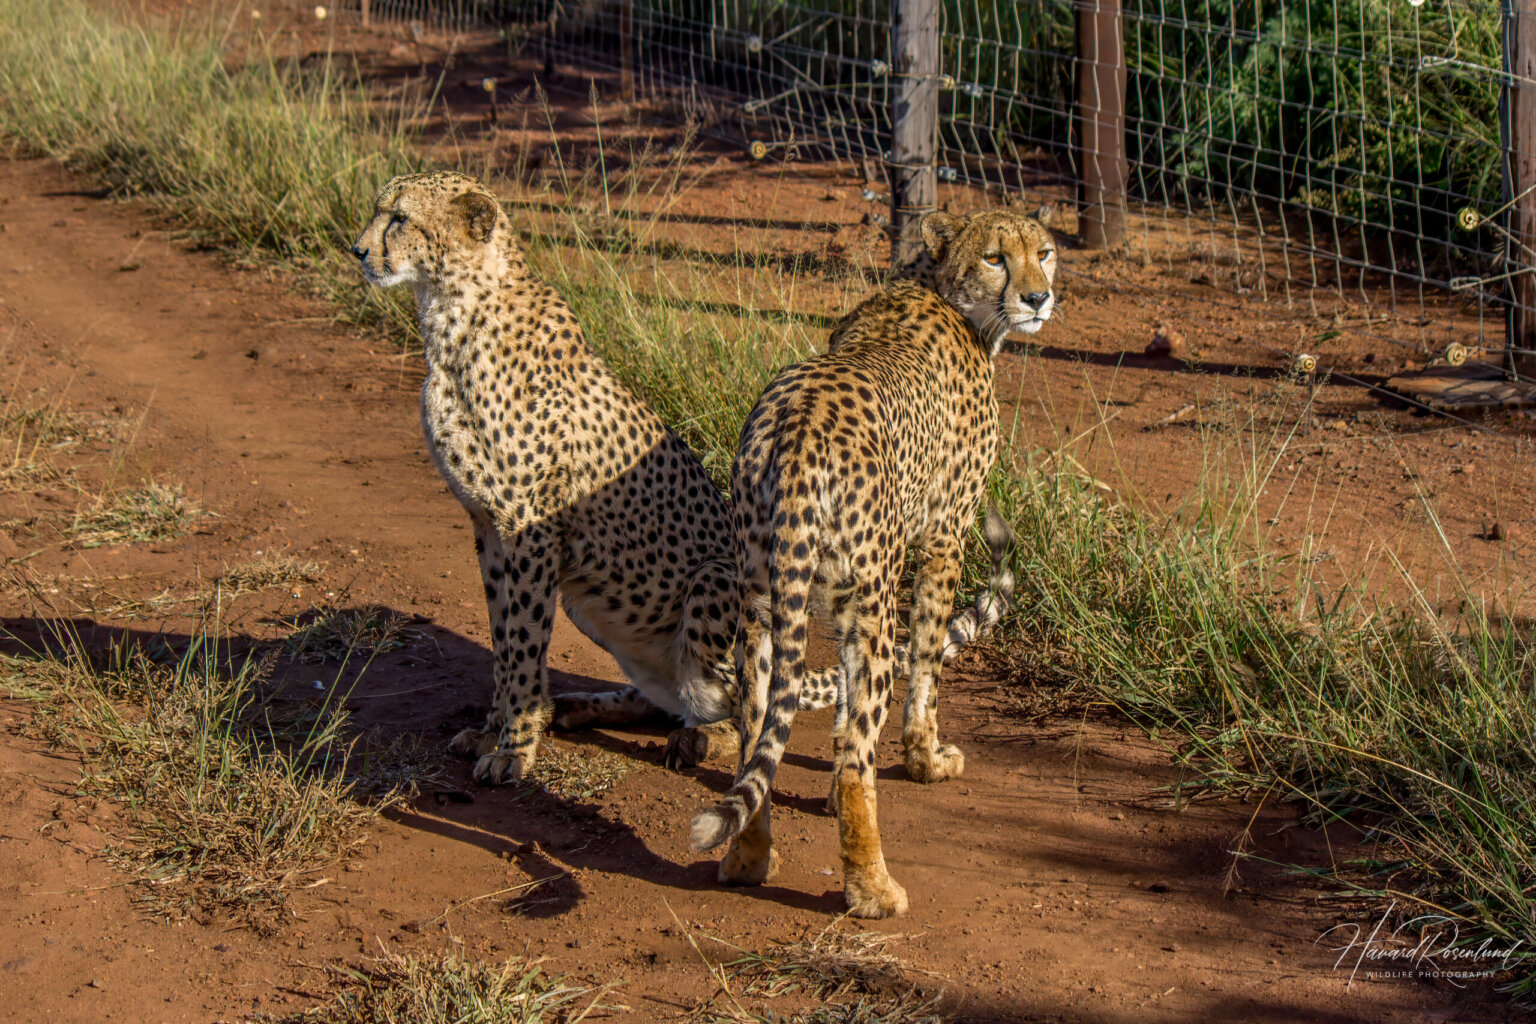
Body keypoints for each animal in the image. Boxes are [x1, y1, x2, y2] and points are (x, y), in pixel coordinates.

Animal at [350, 171, 1017, 784]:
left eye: (400, 218)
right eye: (381, 211)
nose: (358, 249)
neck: (453, 314)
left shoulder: (528, 531)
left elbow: (521, 645)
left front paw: (512, 748)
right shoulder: (489, 528)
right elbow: (501, 642)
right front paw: (495, 729)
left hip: (712, 581)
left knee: (738, 704)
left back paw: (701, 740)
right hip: (594, 601)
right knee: (670, 701)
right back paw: (581, 708)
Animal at [691, 208, 1057, 918]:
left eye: (1046, 252)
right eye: (996, 257)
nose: (1037, 298)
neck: (939, 288)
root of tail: (800, 424)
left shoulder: (835, 599)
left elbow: (831, 712)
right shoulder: (944, 538)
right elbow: (927, 668)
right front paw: (926, 759)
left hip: (765, 602)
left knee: (757, 731)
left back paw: (749, 858)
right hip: (876, 600)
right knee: (861, 747)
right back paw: (873, 889)